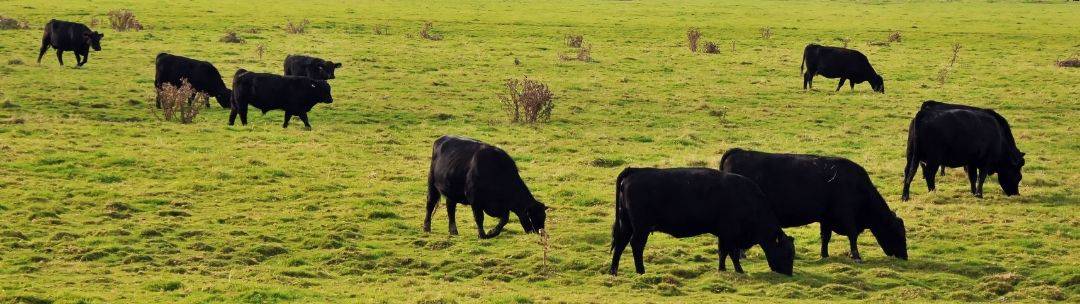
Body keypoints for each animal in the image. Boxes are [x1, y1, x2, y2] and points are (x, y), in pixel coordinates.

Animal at [613, 166, 799, 275]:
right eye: (788, 253)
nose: (788, 273)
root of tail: (634, 171)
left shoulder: (724, 234)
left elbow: (723, 252)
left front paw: (723, 269)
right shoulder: (730, 233)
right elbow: (731, 253)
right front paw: (739, 270)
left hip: (626, 224)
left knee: (620, 244)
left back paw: (613, 271)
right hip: (641, 228)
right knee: (636, 245)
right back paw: (640, 271)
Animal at [721, 148, 907, 261]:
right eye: (899, 233)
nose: (905, 256)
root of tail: (738, 152)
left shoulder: (826, 217)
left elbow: (825, 236)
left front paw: (824, 255)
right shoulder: (846, 215)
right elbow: (852, 235)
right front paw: (856, 256)